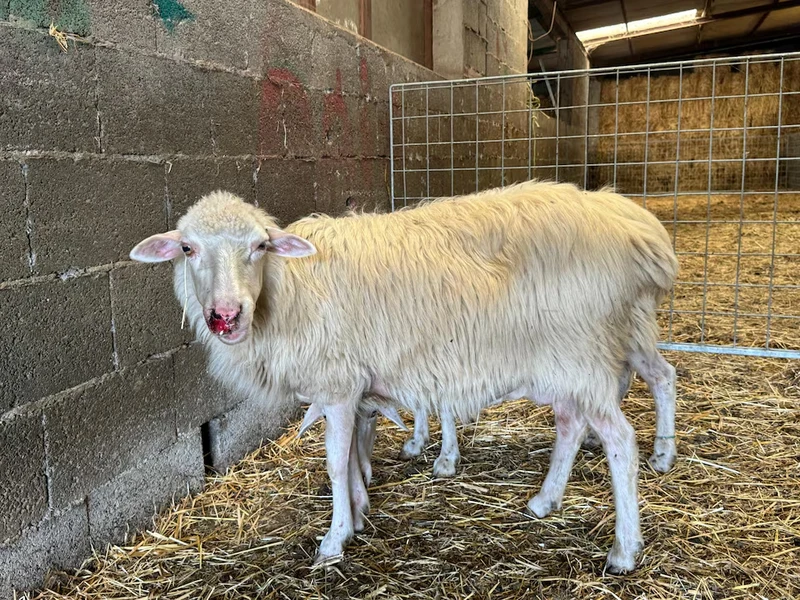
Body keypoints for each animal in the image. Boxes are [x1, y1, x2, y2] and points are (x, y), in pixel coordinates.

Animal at [130, 180, 676, 576]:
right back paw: (546, 500)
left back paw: (626, 546)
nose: (226, 316)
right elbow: (355, 452)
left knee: (622, 435)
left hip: (584, 351)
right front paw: (358, 512)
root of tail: (637, 229)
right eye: (187, 248)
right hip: (570, 358)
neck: (289, 290)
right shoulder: (355, 386)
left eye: (260, 246)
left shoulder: (337, 383)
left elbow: (336, 463)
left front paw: (334, 539)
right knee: (576, 421)